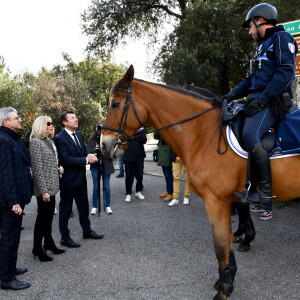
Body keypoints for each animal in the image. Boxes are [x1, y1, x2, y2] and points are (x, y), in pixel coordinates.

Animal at [101, 65, 300, 298]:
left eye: (115, 104)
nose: (103, 144)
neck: (205, 134)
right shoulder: (226, 200)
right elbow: (226, 243)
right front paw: (226, 278)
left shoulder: (216, 200)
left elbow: (221, 246)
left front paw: (225, 289)